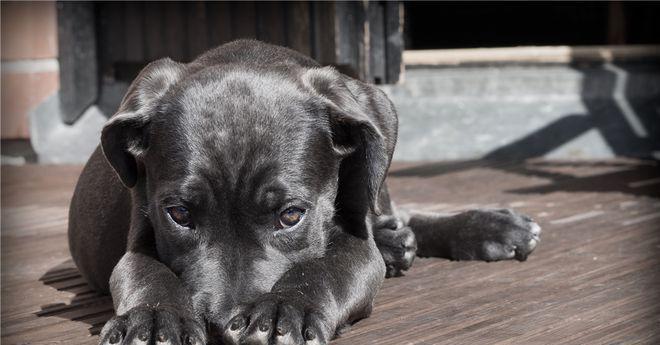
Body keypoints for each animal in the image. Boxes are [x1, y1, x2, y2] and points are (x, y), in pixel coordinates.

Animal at [68, 39, 540, 342]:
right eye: (179, 215)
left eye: (291, 215)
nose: (221, 326)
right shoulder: (140, 232)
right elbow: (144, 271)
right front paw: (154, 319)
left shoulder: (355, 245)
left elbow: (326, 268)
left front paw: (283, 310)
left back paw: (488, 227)